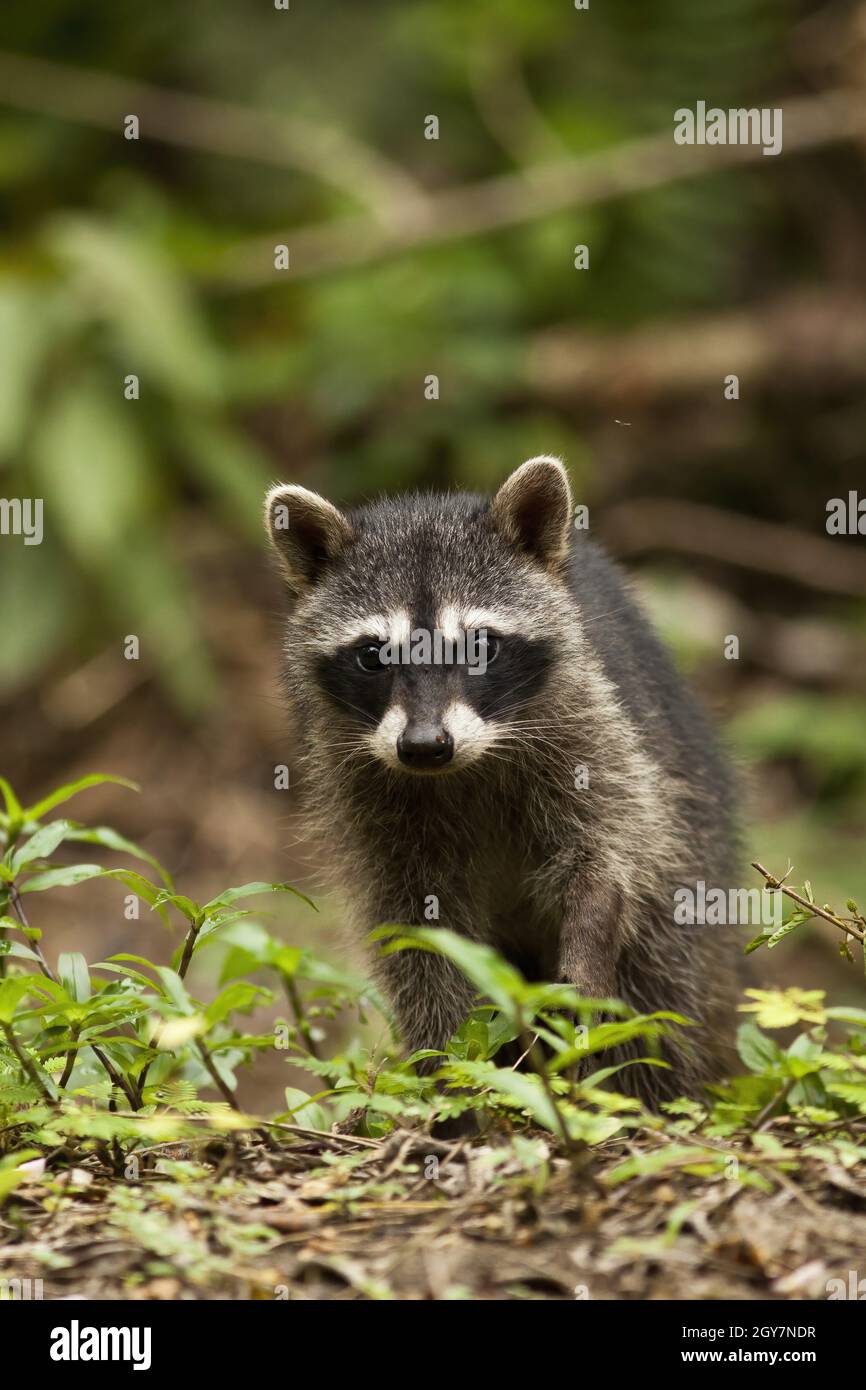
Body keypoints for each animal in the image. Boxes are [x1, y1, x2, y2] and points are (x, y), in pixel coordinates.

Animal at [264, 457, 739, 1104]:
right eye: (373, 656)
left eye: (479, 646)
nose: (424, 746)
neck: (465, 765)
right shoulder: (362, 792)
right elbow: (416, 934)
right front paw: (449, 1067)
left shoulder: (592, 723)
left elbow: (613, 840)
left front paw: (590, 931)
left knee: (662, 983)